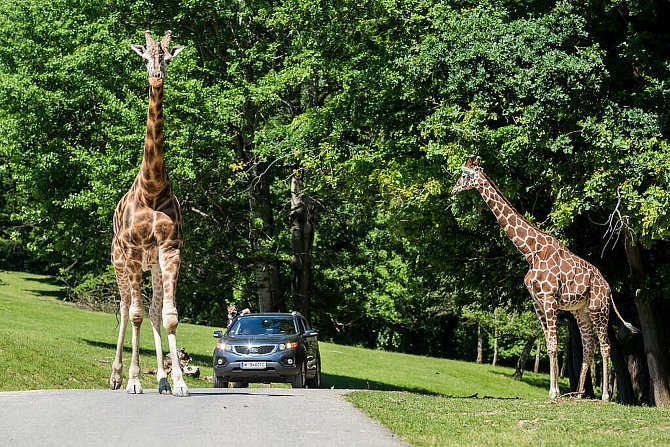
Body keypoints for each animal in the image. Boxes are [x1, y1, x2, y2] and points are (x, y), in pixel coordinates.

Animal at [452, 156, 640, 400]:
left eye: (464, 174)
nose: (454, 189)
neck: (530, 251)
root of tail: (608, 287)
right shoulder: (537, 302)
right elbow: (548, 343)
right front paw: (556, 391)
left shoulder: (550, 299)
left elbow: (553, 344)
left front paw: (553, 392)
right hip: (581, 311)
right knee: (589, 346)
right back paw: (578, 394)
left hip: (599, 309)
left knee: (605, 346)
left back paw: (605, 396)